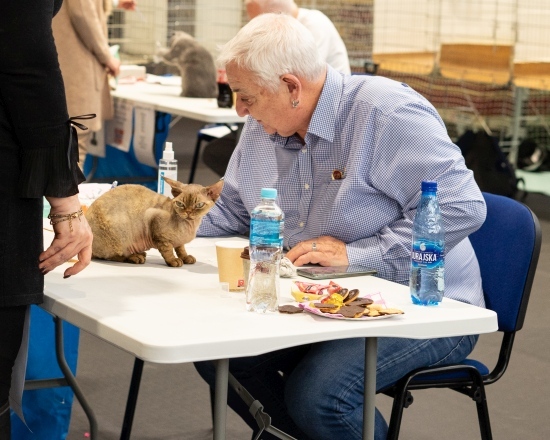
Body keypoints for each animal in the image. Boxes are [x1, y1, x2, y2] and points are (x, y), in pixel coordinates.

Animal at [85, 177, 223, 266]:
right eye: (180, 204)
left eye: (199, 205)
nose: (188, 212)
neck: (190, 226)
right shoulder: (156, 227)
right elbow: (168, 250)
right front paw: (174, 261)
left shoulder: (179, 242)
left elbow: (180, 248)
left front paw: (185, 257)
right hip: (118, 237)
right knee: (110, 256)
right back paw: (135, 257)